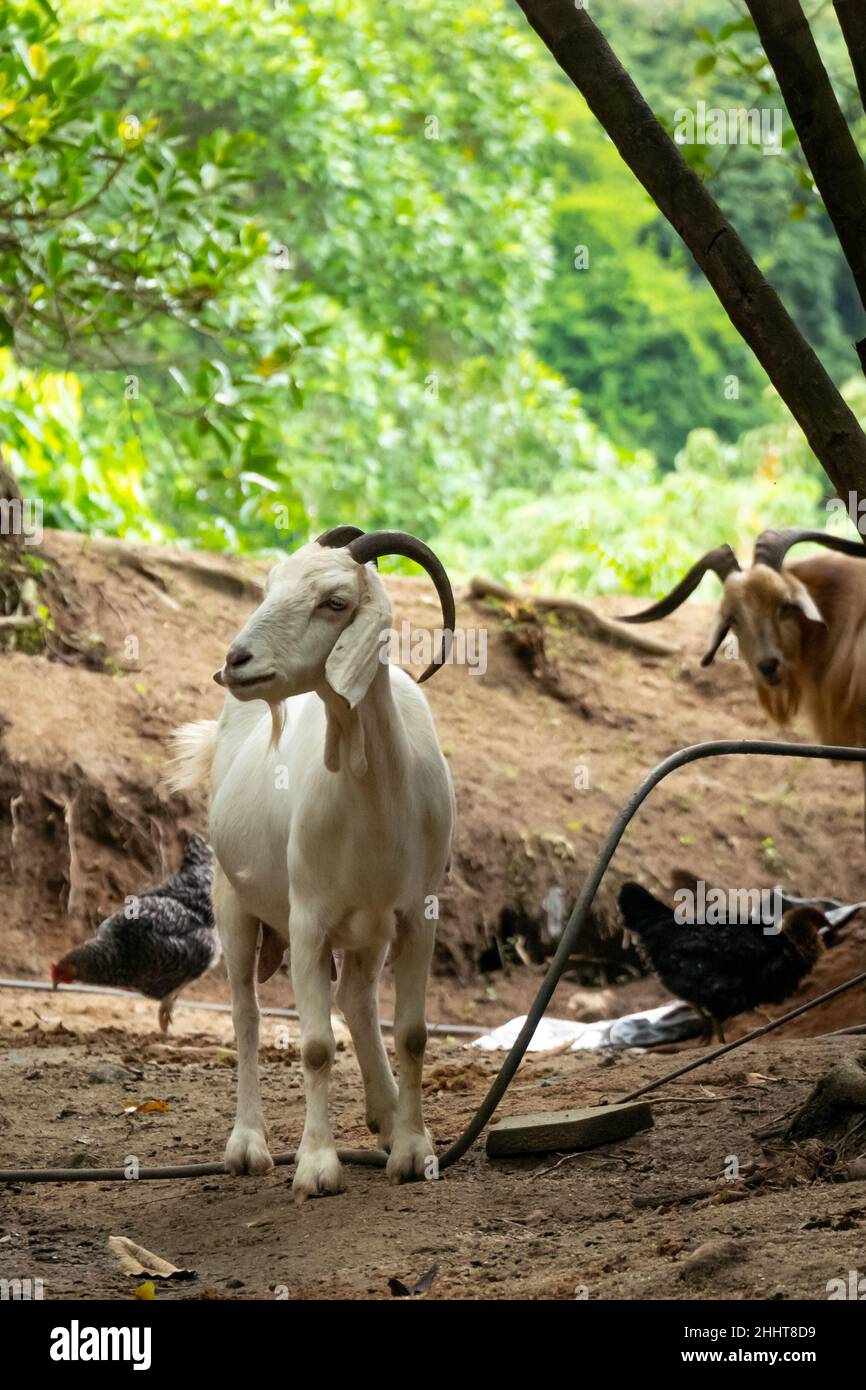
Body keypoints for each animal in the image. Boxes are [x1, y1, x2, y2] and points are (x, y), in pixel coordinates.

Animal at [168, 525, 453, 1200]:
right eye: (270, 585)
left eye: (334, 601)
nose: (235, 661)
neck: (375, 793)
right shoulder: (307, 918)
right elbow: (317, 1046)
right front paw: (317, 1167)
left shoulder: (416, 914)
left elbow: (412, 1032)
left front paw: (412, 1150)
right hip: (233, 903)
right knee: (245, 1013)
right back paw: (248, 1146)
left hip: (369, 928)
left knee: (357, 997)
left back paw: (384, 1116)